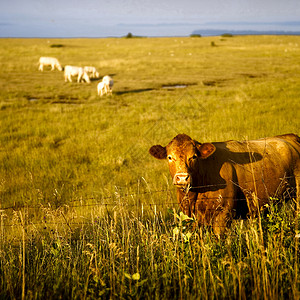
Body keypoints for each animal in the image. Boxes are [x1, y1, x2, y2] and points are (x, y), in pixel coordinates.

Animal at [150, 133, 300, 234]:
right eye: (170, 157)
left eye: (194, 156)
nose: (182, 178)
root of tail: (291, 137)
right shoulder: (189, 216)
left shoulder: (223, 214)